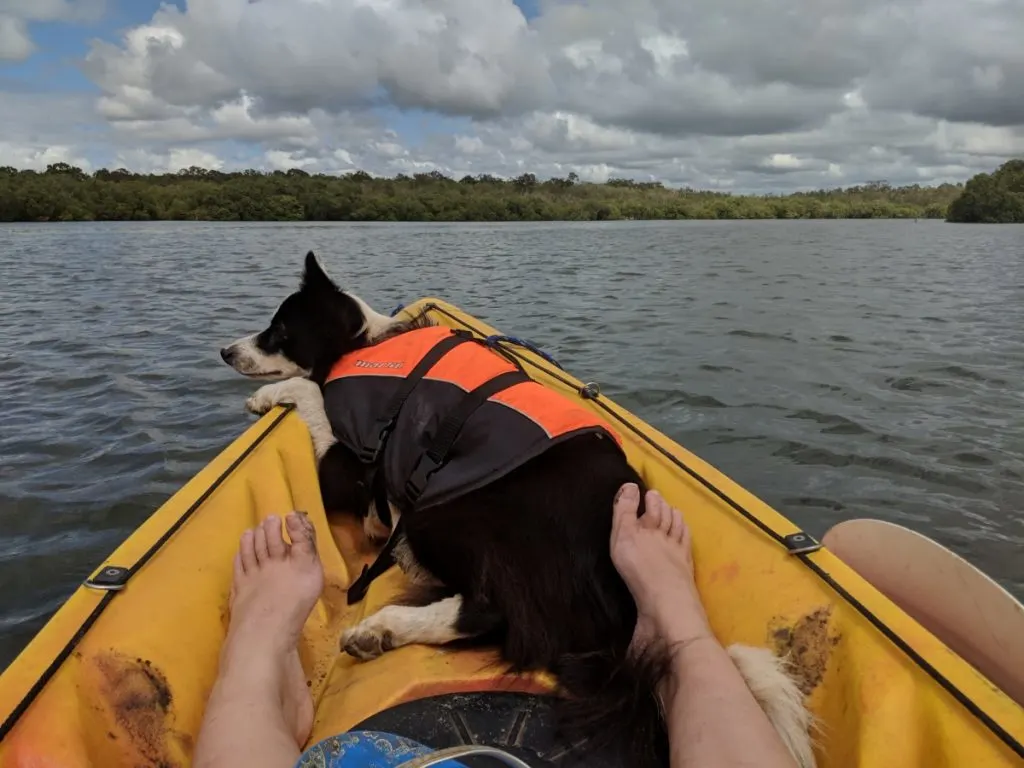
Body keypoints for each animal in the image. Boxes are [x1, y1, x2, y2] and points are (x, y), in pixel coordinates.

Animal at [218, 253, 815, 768]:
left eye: (278, 330)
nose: (225, 351)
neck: (360, 345)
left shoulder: (354, 467)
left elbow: (311, 396)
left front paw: (270, 397)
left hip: (445, 506)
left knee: (500, 615)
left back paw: (383, 627)